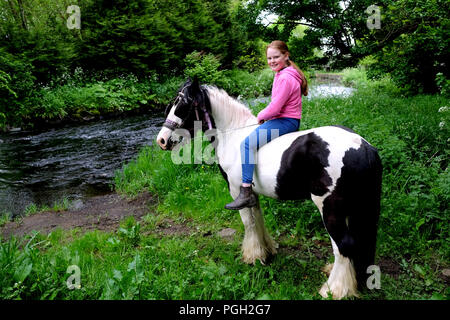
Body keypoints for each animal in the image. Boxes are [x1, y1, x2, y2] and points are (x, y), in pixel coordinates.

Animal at [156, 79, 382, 298]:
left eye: (182, 105)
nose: (162, 140)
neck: (232, 135)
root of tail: (364, 147)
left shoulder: (236, 190)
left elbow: (248, 223)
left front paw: (252, 256)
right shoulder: (251, 193)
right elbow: (258, 219)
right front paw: (266, 250)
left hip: (330, 209)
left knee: (343, 245)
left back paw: (334, 289)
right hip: (351, 209)